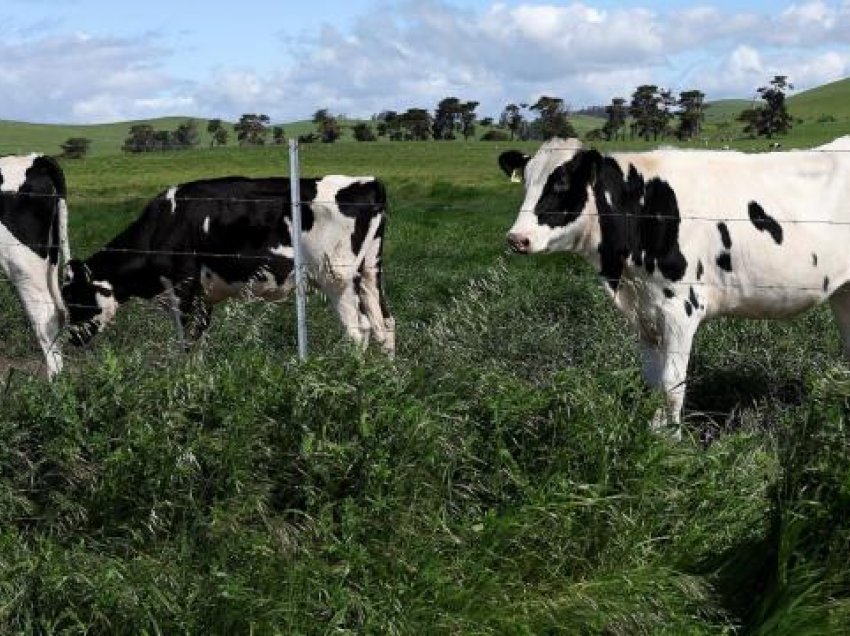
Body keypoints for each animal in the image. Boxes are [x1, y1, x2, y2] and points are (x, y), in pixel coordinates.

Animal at [63, 174, 394, 352]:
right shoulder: (204, 297)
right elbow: (199, 341)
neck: (163, 225)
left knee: (359, 331)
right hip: (369, 272)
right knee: (385, 324)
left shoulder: (184, 290)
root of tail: (367, 183)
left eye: (76, 300)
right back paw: (385, 380)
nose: (72, 341)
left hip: (337, 278)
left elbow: (186, 342)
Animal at [500, 140, 848, 434]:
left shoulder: (681, 308)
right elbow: (653, 382)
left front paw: (673, 442)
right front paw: (654, 435)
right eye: (526, 183)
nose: (517, 238)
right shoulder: (644, 313)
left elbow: (672, 384)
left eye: (561, 183)